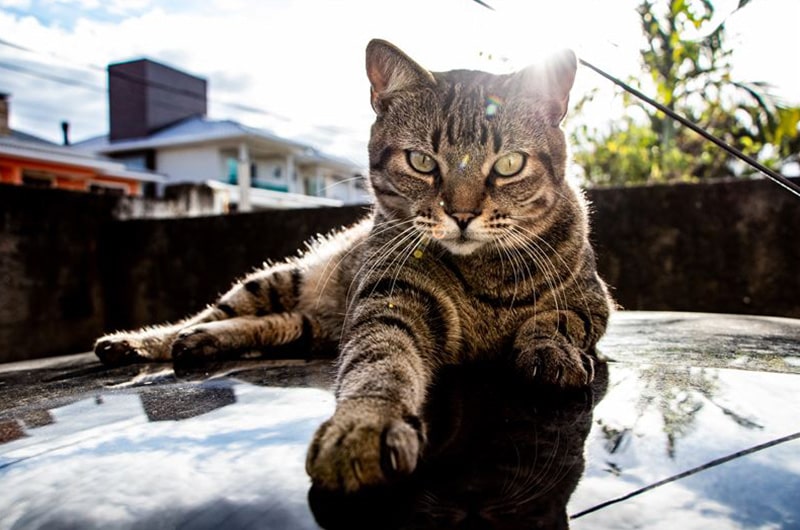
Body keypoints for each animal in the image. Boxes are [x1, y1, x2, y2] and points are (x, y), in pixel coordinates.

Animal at [94, 40, 612, 490]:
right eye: (422, 161)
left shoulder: (594, 303)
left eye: (508, 165)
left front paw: (550, 352)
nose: (462, 215)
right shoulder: (389, 298)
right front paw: (365, 425)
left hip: (310, 326)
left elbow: (554, 319)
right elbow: (379, 359)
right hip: (277, 280)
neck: (484, 275)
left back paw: (201, 342)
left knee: (270, 325)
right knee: (206, 314)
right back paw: (140, 341)